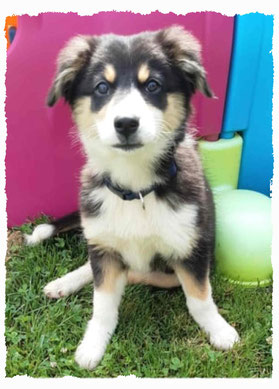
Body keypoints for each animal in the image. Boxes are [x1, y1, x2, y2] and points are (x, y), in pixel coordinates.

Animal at [26, 25, 240, 368]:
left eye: (152, 85)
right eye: (101, 88)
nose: (126, 123)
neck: (136, 188)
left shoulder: (191, 248)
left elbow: (199, 298)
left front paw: (219, 330)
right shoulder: (104, 245)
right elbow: (102, 303)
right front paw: (92, 345)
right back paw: (63, 283)